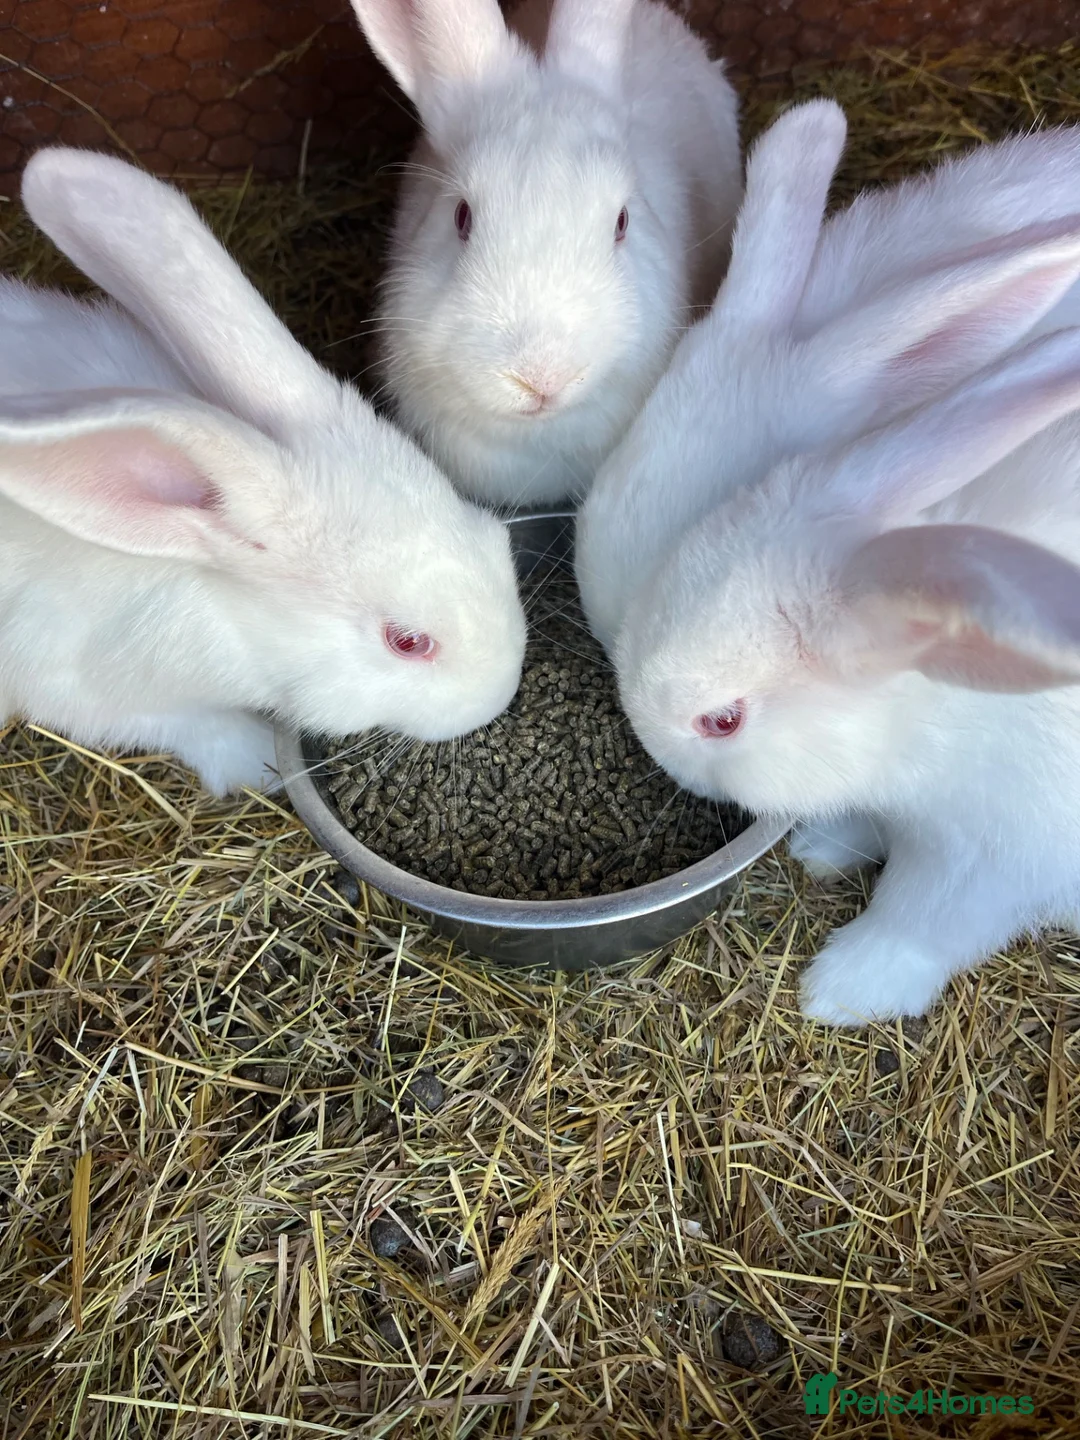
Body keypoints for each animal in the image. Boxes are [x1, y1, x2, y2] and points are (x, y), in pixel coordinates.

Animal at [0, 148, 526, 798]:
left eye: (495, 537)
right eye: (407, 642)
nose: (502, 689)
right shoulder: (72, 679)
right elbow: (184, 725)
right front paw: (255, 761)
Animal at [613, 325, 1080, 1025]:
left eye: (722, 721)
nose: (646, 742)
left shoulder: (987, 861)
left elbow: (918, 921)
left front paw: (836, 991)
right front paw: (820, 850)